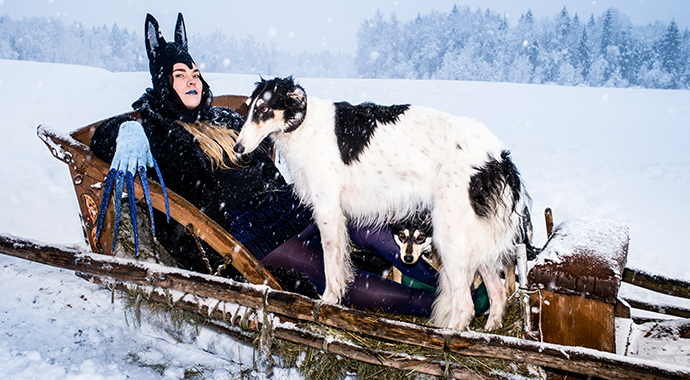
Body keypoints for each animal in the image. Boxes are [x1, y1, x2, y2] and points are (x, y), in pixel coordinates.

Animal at [234, 76, 528, 330]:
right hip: (476, 241)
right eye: (249, 108)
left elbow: (330, 265)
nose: (237, 149)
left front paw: (328, 301)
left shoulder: (327, 209)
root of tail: (498, 158)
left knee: (466, 305)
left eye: (263, 109)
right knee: (498, 293)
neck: (305, 125)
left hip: (450, 238)